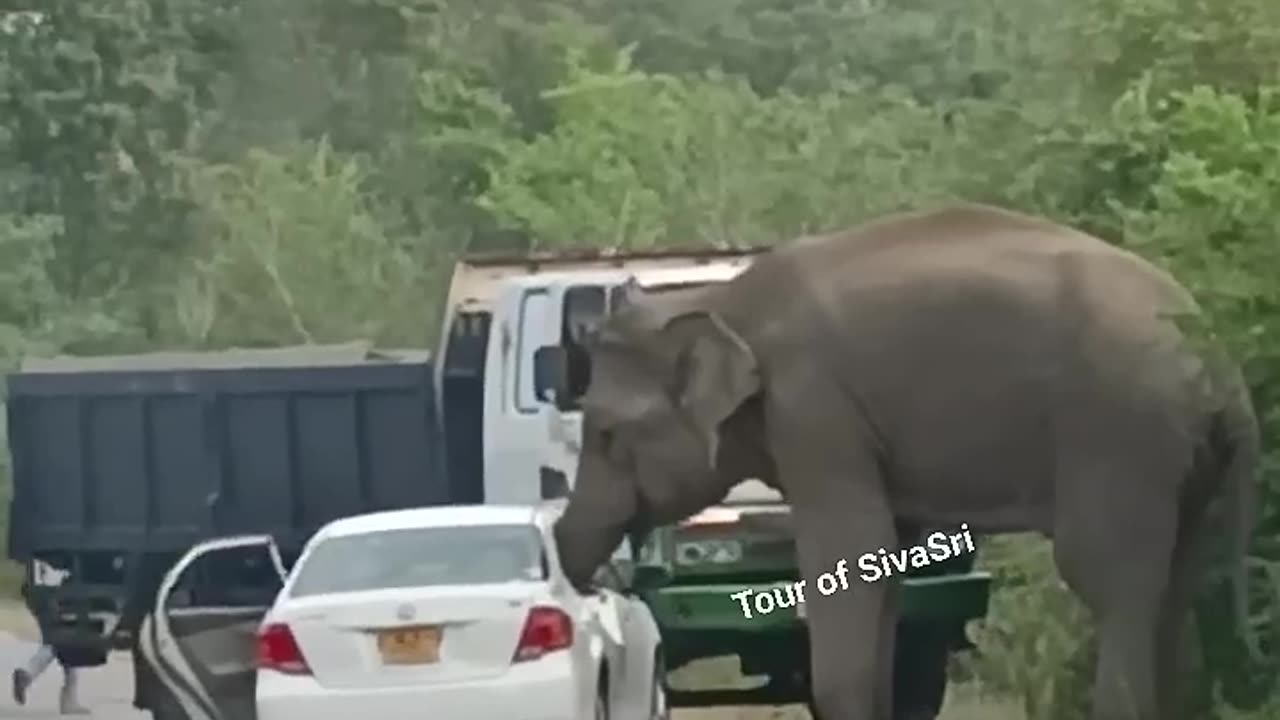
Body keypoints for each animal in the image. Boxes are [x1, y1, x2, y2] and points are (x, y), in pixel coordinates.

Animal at [552, 202, 1259, 717]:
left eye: (607, 433)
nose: (570, 559)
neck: (723, 304)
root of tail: (1224, 369)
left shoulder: (816, 411)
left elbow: (851, 551)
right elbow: (886, 562)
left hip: (1121, 433)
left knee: (1112, 580)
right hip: (1182, 457)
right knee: (1176, 580)